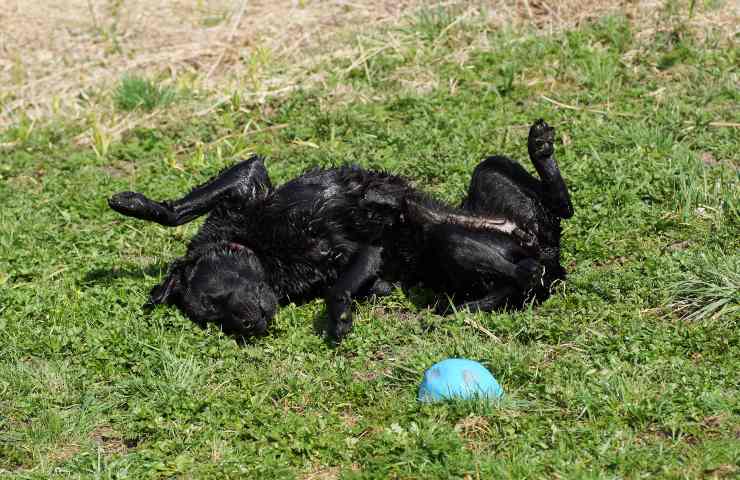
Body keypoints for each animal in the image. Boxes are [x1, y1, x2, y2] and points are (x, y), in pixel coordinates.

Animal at [108, 118, 572, 340]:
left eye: (217, 299)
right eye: (212, 318)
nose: (249, 326)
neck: (262, 251)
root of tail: (548, 253)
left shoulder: (248, 186)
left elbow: (181, 209)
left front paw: (133, 203)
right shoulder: (363, 255)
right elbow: (348, 283)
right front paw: (358, 302)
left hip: (487, 186)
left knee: (559, 215)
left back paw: (540, 147)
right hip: (465, 229)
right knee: (525, 274)